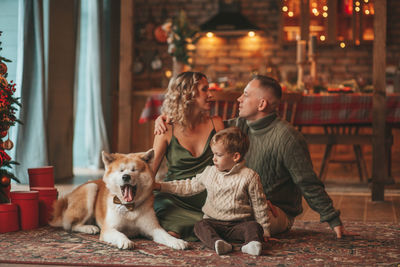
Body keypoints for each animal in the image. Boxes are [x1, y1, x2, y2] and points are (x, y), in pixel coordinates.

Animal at [49, 151, 188, 251]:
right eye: (121, 170)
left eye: (134, 170)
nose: (126, 176)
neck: (129, 208)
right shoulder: (109, 229)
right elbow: (119, 234)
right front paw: (125, 241)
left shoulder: (153, 228)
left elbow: (166, 235)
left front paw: (177, 241)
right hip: (91, 188)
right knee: (71, 225)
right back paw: (89, 228)